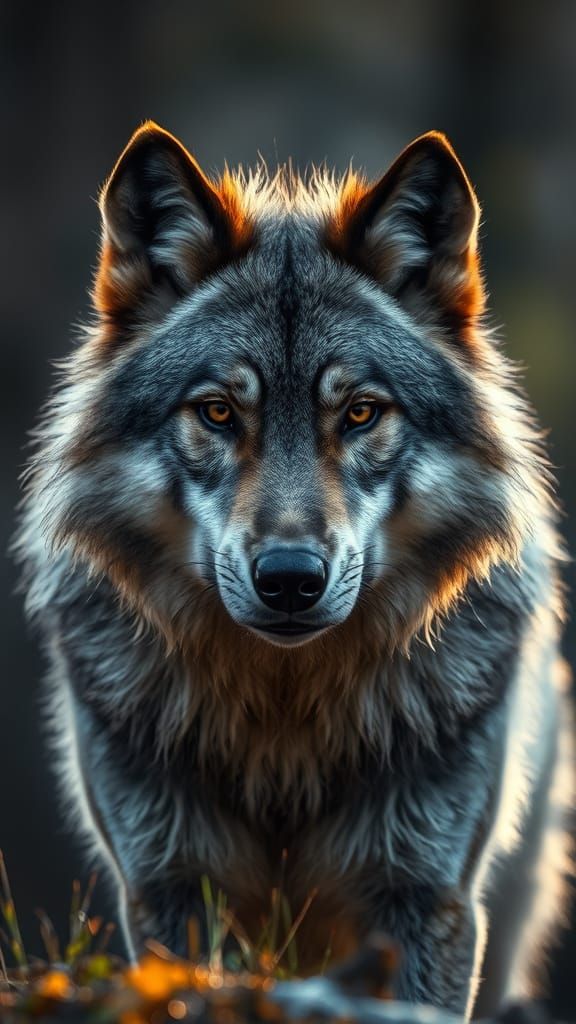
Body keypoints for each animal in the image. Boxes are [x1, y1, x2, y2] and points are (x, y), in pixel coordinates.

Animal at [16, 123, 573, 1018]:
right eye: (216, 411)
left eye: (361, 412)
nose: (287, 578)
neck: (287, 725)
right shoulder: (169, 888)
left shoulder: (428, 897)